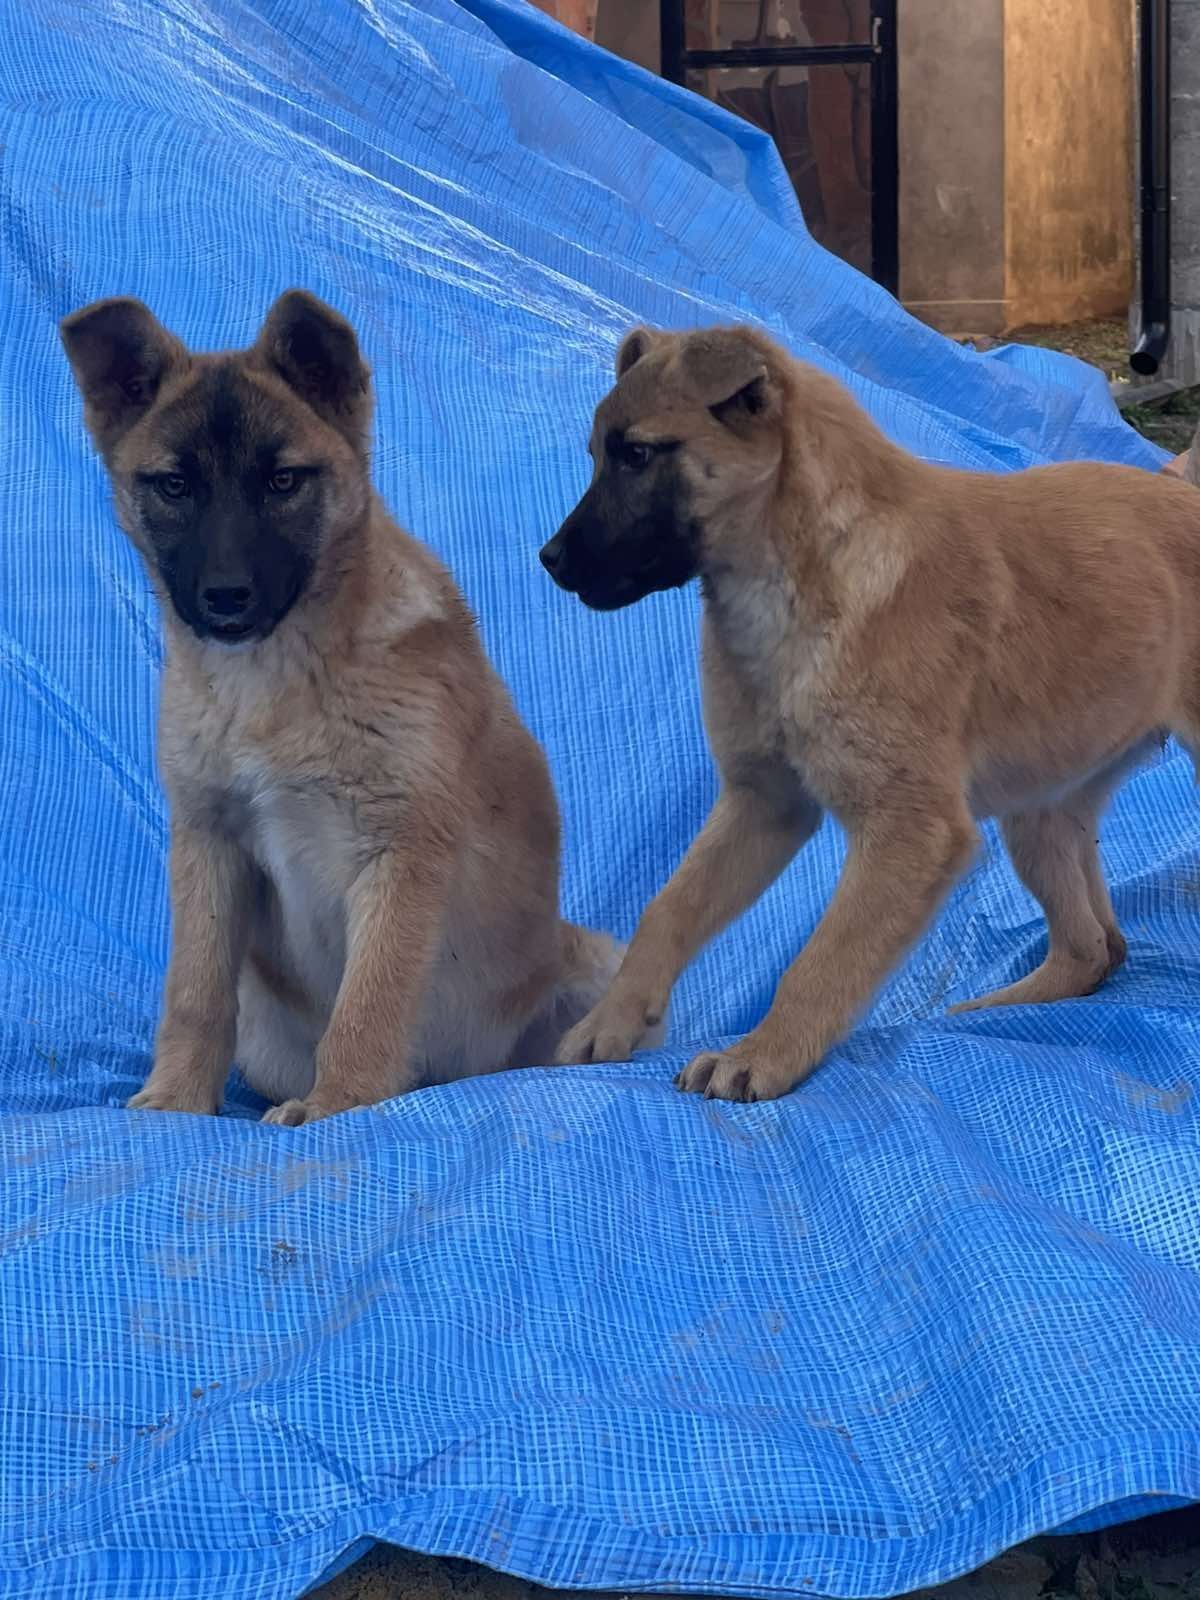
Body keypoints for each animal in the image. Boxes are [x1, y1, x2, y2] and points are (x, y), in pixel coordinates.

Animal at [61, 294, 620, 1132]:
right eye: (174, 486)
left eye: (284, 480)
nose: (226, 599)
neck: (274, 681)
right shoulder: (209, 842)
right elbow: (193, 991)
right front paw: (176, 1099)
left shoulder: (401, 852)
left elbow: (370, 1001)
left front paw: (338, 1104)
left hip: (597, 963)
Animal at [544, 321, 1200, 1100]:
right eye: (595, 455)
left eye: (638, 455)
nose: (548, 560)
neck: (801, 574)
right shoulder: (763, 804)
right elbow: (667, 908)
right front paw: (611, 1022)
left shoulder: (909, 830)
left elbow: (822, 960)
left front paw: (763, 1054)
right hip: (1042, 810)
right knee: (1096, 946)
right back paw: (992, 1010)